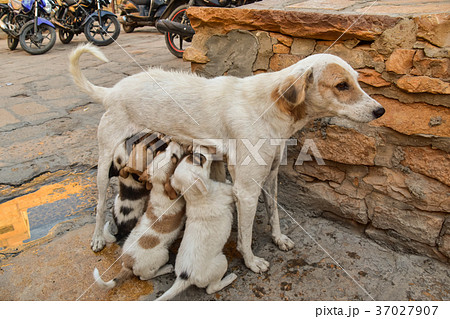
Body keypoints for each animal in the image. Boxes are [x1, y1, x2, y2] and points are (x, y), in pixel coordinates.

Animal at [93, 142, 185, 290]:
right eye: (174, 157)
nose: (175, 142)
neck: (160, 190)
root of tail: (128, 265)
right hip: (162, 255)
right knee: (144, 277)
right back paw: (167, 268)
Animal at [156, 149, 236, 302]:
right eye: (200, 158)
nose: (193, 149)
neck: (195, 196)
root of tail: (184, 277)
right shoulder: (229, 192)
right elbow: (233, 187)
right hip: (221, 262)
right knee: (212, 288)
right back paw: (229, 278)